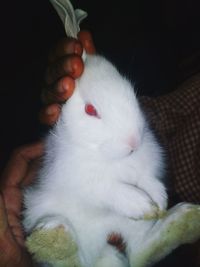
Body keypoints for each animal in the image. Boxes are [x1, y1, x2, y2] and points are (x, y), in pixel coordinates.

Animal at [23, 55, 169, 267]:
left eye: (132, 94)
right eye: (91, 110)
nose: (133, 141)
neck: (108, 156)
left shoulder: (144, 166)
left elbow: (146, 179)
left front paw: (160, 200)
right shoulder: (83, 183)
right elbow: (110, 189)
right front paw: (141, 204)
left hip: (132, 227)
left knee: (140, 252)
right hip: (42, 212)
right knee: (72, 260)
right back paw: (58, 240)